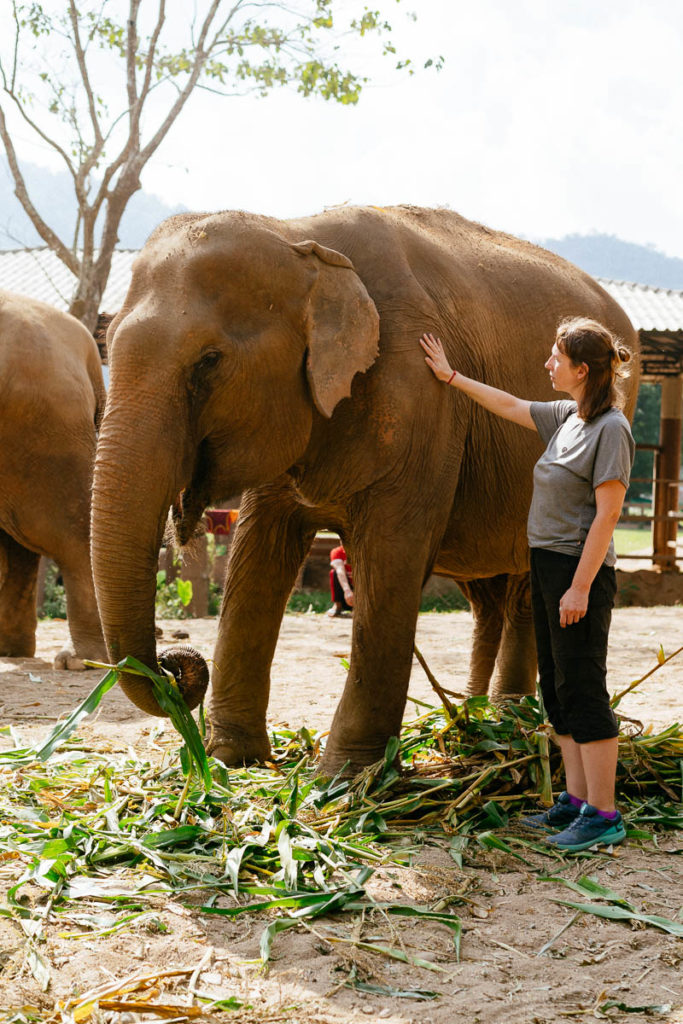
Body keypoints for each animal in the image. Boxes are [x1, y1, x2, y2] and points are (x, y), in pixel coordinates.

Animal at [91, 205, 638, 775]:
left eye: (209, 360)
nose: (176, 663)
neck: (298, 235)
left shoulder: (421, 402)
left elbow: (390, 564)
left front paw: (346, 776)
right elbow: (256, 560)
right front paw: (230, 763)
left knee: (529, 588)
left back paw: (511, 720)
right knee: (494, 597)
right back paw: (481, 716)